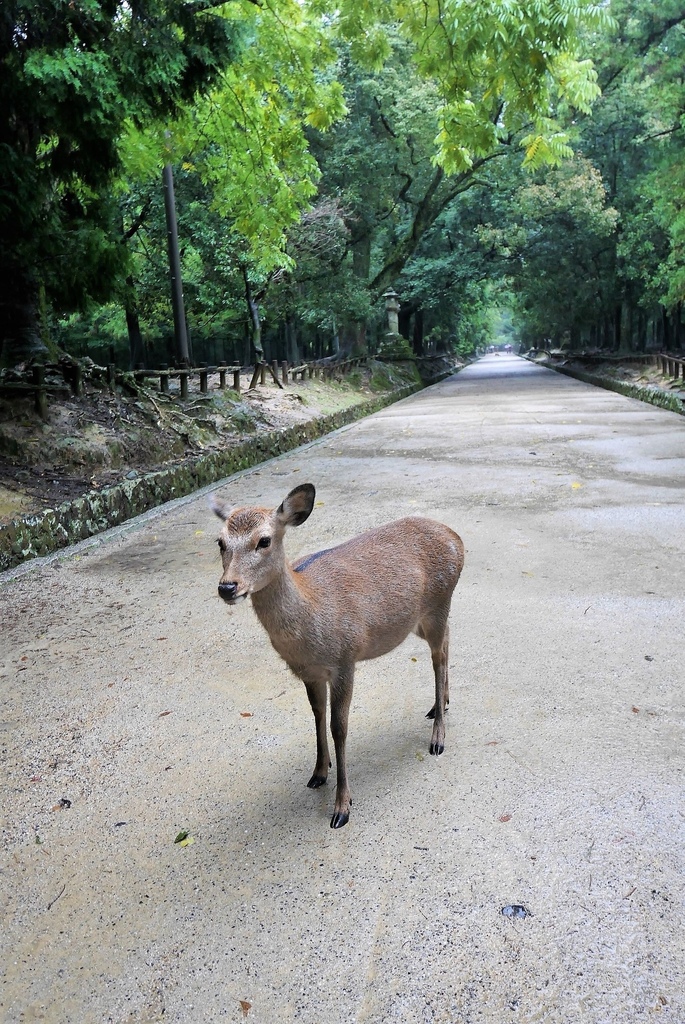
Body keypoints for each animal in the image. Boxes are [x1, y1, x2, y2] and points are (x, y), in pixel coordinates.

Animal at [209, 483, 464, 827]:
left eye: (264, 540)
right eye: (220, 542)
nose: (227, 587)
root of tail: (457, 538)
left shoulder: (345, 660)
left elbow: (338, 727)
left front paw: (342, 806)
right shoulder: (308, 672)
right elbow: (317, 715)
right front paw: (318, 772)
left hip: (439, 601)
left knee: (438, 657)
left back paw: (438, 736)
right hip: (418, 620)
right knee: (447, 641)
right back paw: (441, 704)